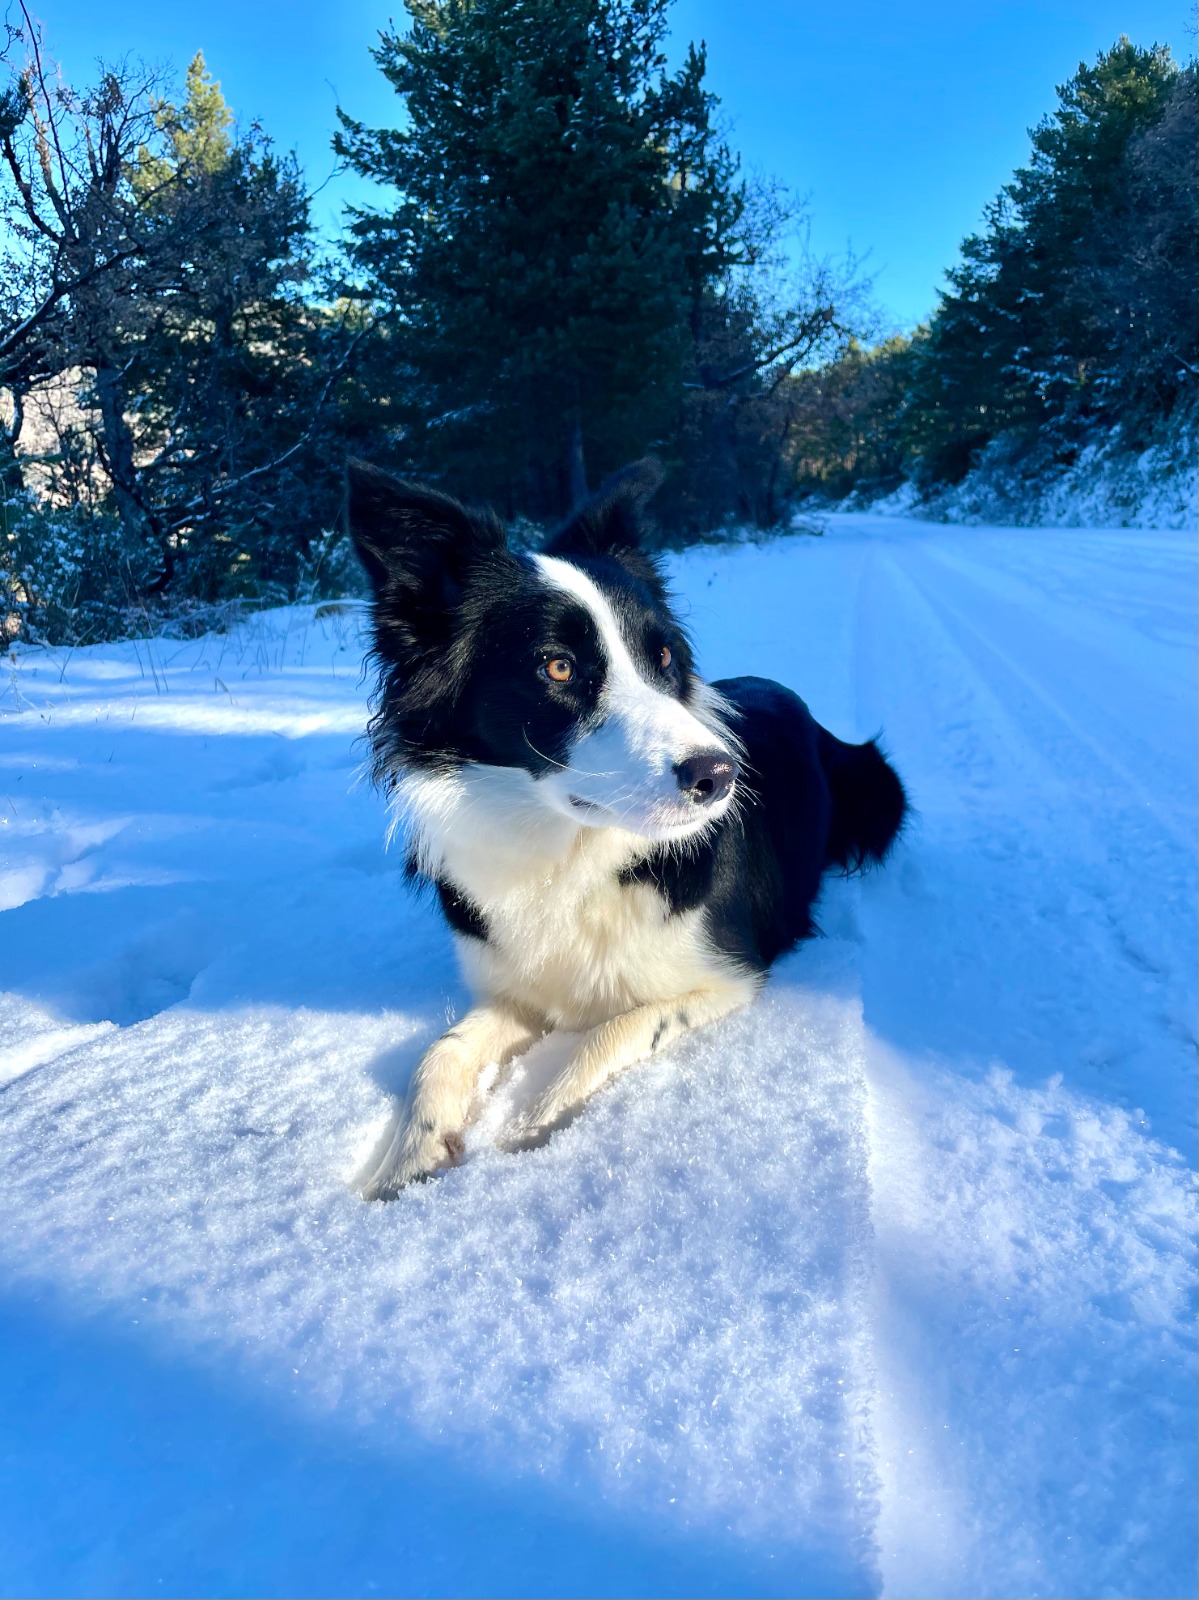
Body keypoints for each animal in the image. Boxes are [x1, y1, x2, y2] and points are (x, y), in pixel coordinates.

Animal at [340, 457, 902, 1196]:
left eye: (663, 660)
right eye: (558, 666)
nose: (719, 776)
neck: (565, 854)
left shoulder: (729, 975)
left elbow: (619, 1027)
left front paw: (531, 1127)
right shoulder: (517, 985)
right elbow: (440, 1050)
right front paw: (409, 1157)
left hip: (879, 788)